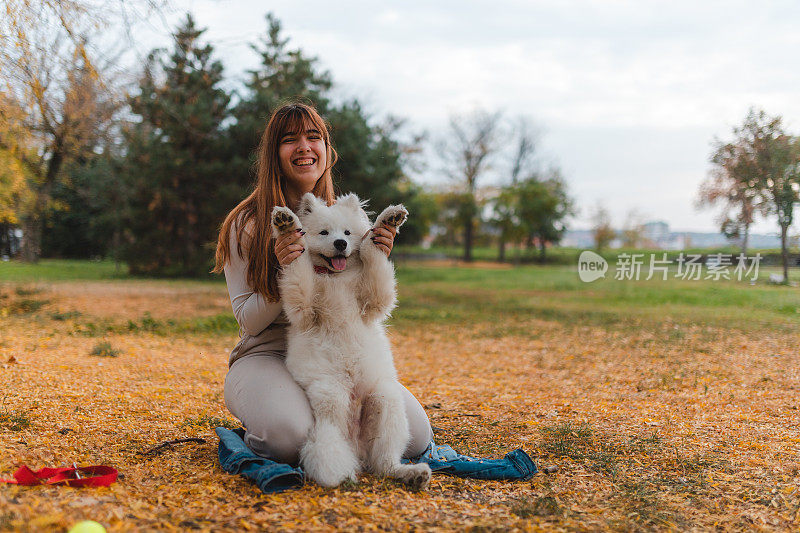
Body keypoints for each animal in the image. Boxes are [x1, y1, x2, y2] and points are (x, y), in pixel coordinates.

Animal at [270, 192, 432, 490]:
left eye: (347, 233)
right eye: (324, 232)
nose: (341, 244)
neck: (336, 278)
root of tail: (356, 447)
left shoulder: (375, 301)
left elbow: (373, 255)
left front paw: (387, 222)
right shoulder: (303, 309)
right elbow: (299, 264)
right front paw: (287, 227)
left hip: (386, 401)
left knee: (384, 463)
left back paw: (410, 473)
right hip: (331, 392)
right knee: (334, 434)